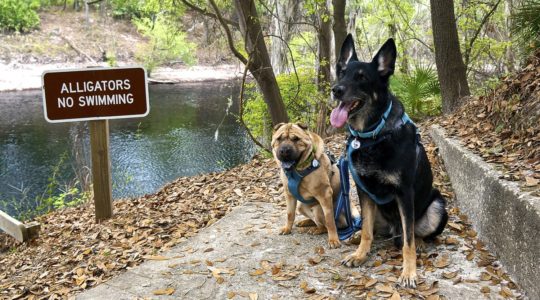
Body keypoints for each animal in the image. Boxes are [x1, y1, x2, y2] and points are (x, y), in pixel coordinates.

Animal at [332, 35, 450, 288]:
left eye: (362, 78)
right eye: (341, 73)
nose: (335, 90)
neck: (373, 135)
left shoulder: (404, 193)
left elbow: (408, 242)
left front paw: (409, 272)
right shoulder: (364, 191)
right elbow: (367, 231)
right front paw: (360, 255)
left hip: (437, 206)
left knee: (413, 234)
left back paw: (420, 242)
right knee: (372, 229)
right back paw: (357, 236)